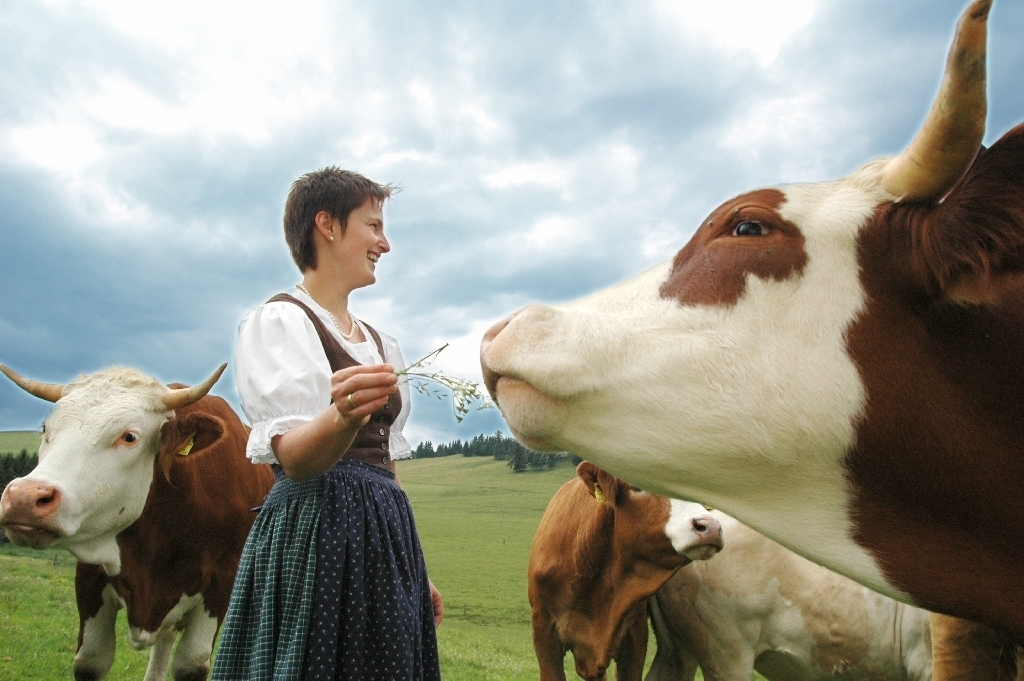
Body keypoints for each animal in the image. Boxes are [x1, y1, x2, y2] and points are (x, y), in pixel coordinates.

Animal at [0, 364, 276, 679]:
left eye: (129, 437)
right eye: (46, 429)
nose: (24, 498)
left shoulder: (221, 585)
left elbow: (191, 664)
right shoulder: (90, 577)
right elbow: (91, 660)